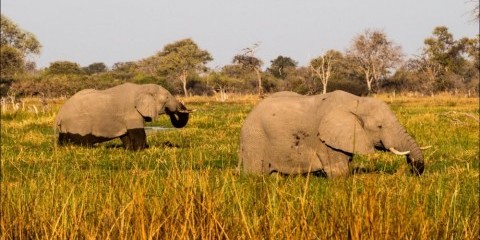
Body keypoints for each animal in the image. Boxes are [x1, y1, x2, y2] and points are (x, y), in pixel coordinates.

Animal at [55, 82, 190, 150]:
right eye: (167, 98)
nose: (170, 111)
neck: (142, 88)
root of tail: (59, 115)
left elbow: (125, 135)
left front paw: (129, 150)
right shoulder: (132, 113)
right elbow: (137, 133)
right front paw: (141, 150)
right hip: (78, 123)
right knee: (83, 141)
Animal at [238, 91, 426, 177]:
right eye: (380, 126)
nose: (414, 170)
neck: (356, 102)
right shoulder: (325, 141)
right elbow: (339, 172)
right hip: (254, 140)